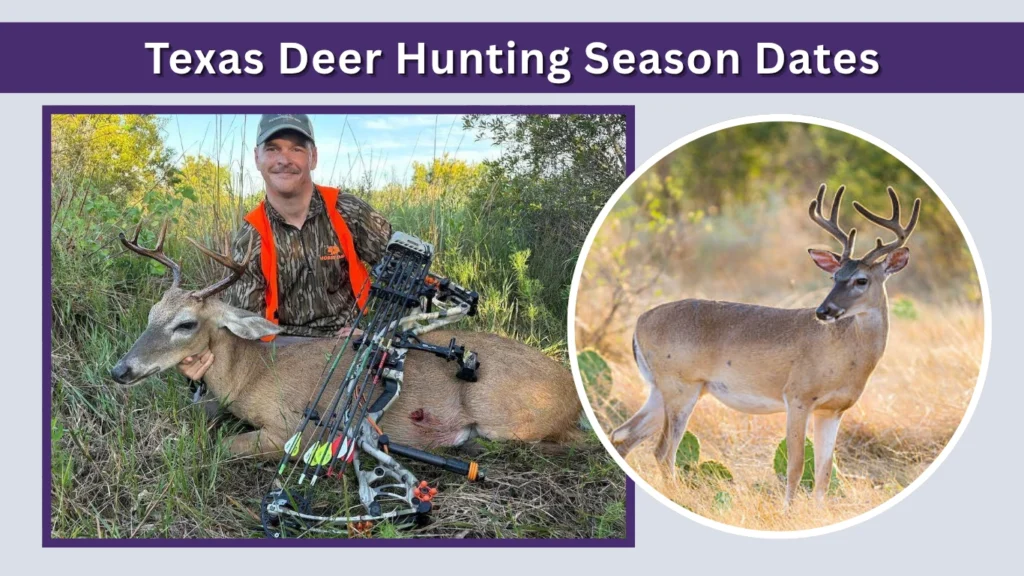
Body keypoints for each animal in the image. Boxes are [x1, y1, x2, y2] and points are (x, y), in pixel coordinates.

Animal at [109, 224, 583, 461]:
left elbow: (219, 448)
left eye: (185, 324)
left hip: (509, 417)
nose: (120, 370)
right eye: (151, 314)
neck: (252, 372)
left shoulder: (292, 428)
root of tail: (572, 392)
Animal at [609, 184, 920, 506]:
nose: (823, 311)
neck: (845, 356)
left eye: (861, 280)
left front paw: (818, 512)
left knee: (623, 435)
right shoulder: (797, 396)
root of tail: (639, 322)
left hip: (664, 389)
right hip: (680, 386)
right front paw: (788, 511)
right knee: (663, 451)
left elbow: (824, 471)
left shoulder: (833, 410)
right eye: (834, 276)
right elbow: (796, 465)